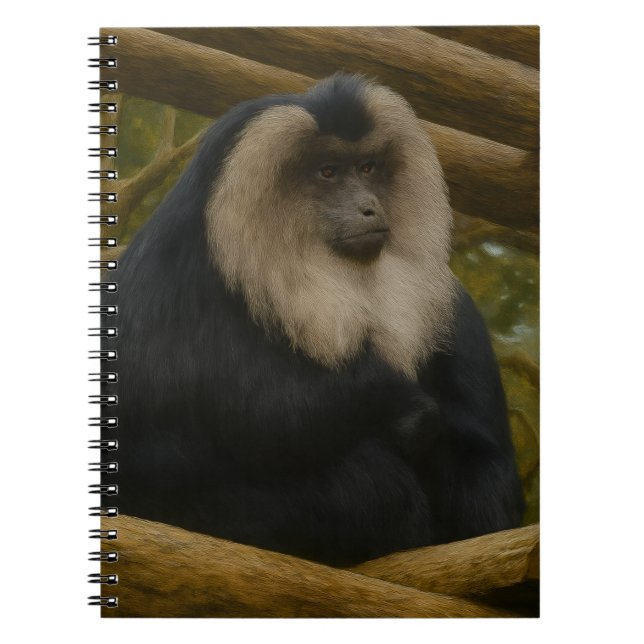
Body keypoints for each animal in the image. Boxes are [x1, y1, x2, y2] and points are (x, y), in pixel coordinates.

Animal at [103, 74, 524, 567]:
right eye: (328, 172)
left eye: (367, 168)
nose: (369, 207)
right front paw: (397, 405)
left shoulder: (455, 309)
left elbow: (483, 464)